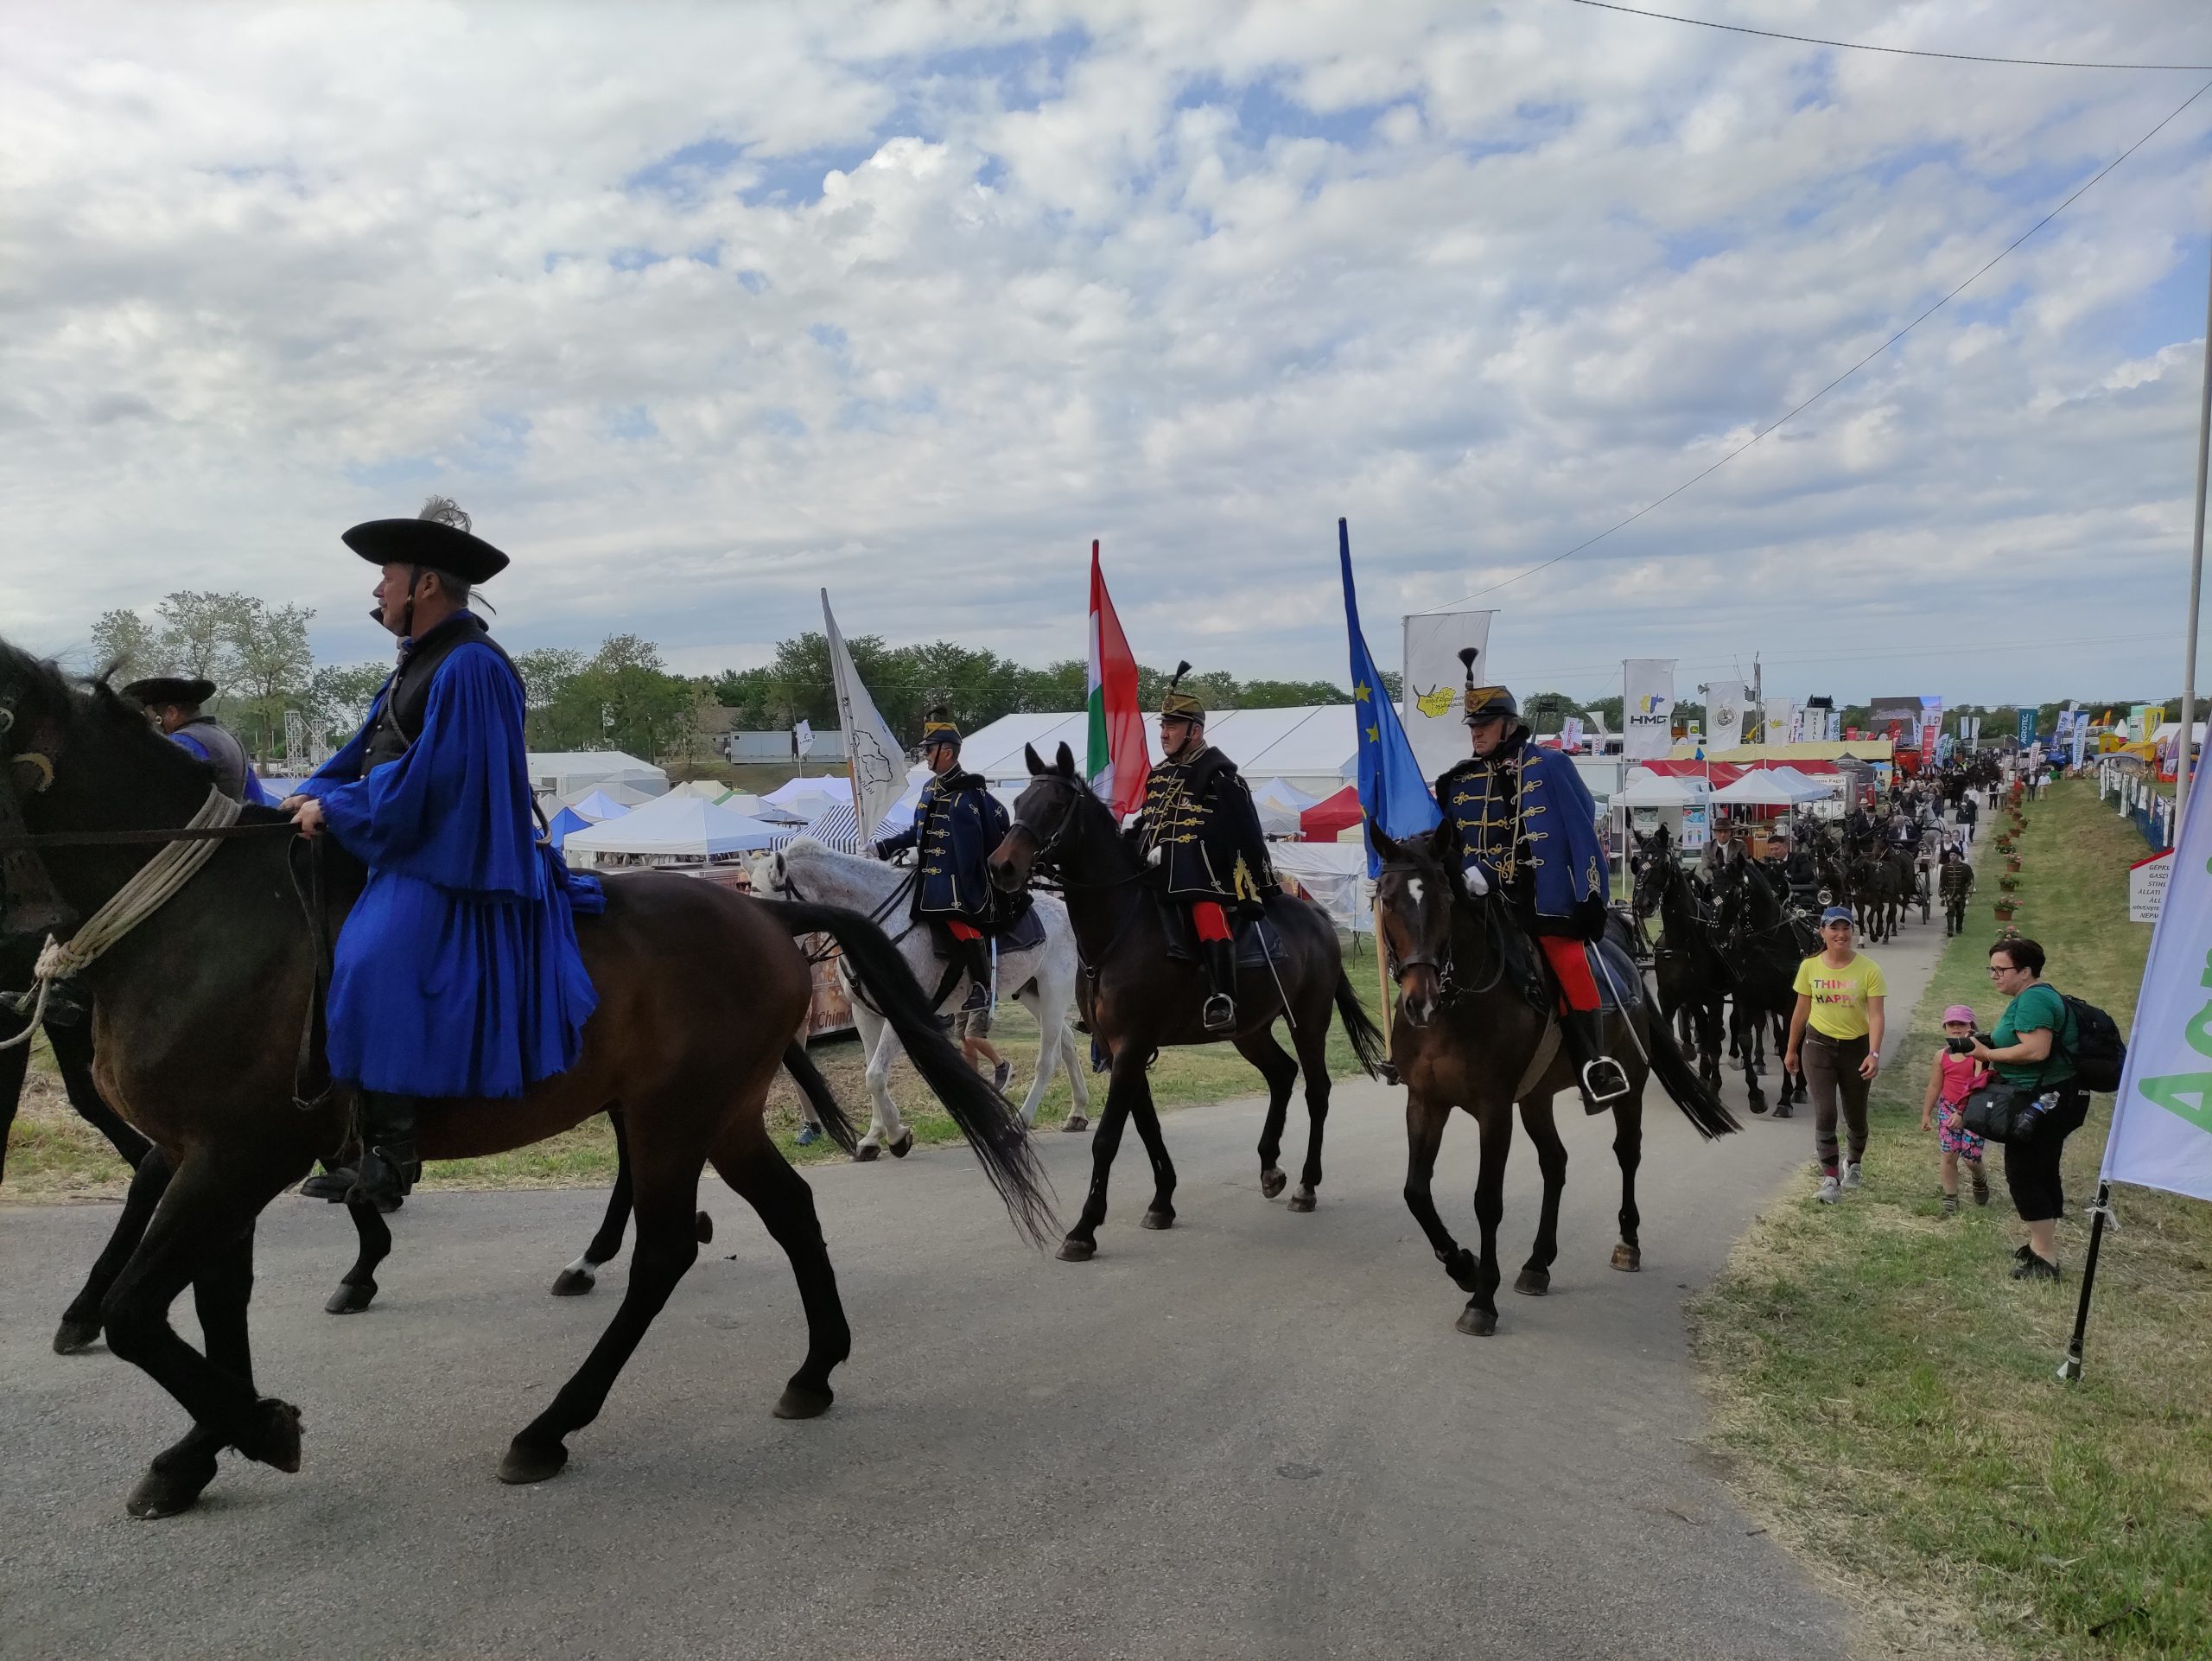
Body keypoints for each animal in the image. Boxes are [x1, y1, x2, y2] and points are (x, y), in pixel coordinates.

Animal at [0, 641, 1052, 1521]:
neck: (203, 915)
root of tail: (765, 916)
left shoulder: (234, 1156)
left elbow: (142, 1312)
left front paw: (254, 1424)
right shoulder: (210, 1159)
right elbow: (214, 1306)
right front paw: (200, 1447)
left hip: (673, 1118)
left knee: (663, 1254)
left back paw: (551, 1424)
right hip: (715, 1116)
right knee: (789, 1211)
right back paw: (814, 1369)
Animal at [747, 844, 1092, 1159]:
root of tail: (1064, 909)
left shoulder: (901, 1014)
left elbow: (875, 1075)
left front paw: (897, 1136)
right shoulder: (864, 1014)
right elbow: (872, 1071)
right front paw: (873, 1138)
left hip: (1053, 992)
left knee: (1048, 1060)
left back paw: (1018, 1125)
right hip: (1033, 995)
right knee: (1067, 1043)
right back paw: (1077, 1112)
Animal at [986, 738, 1380, 1256]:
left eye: (1053, 804)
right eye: (1016, 803)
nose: (1001, 867)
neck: (1121, 927)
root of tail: (1317, 917)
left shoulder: (1132, 1047)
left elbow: (1108, 1138)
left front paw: (1084, 1229)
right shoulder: (1120, 1049)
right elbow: (1147, 1127)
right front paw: (1162, 1202)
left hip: (1308, 1019)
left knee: (1317, 1090)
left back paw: (1305, 1185)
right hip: (1248, 1029)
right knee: (1282, 1074)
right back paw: (1270, 1167)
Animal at [1371, 827, 1734, 1335]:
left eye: (1444, 900)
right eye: (1387, 900)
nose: (1418, 1002)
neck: (1457, 1010)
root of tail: (1628, 964)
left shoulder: (1494, 1110)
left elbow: (1487, 1200)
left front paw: (1482, 1300)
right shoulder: (1425, 1102)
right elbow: (1415, 1192)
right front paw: (1462, 1266)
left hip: (1629, 1086)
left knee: (1627, 1152)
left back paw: (1628, 1242)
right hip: (1536, 1099)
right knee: (1555, 1163)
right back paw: (1538, 1263)